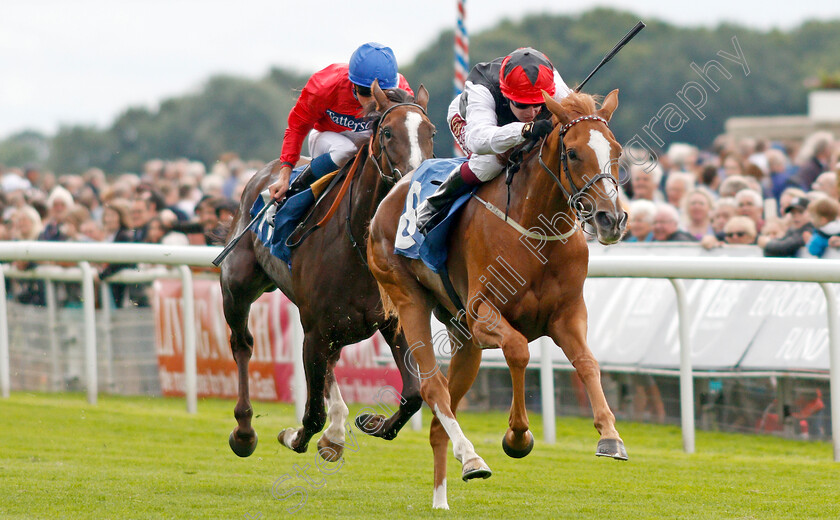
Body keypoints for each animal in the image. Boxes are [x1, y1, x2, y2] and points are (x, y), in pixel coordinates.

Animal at [220, 82, 436, 464]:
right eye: (388, 132)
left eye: (432, 132)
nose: (415, 184)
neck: (357, 246)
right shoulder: (314, 331)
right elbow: (312, 414)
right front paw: (294, 436)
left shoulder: (392, 320)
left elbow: (413, 395)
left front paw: (371, 421)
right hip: (237, 287)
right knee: (242, 345)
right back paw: (244, 432)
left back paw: (335, 433)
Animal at [370, 88, 628, 508]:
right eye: (573, 153)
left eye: (617, 150)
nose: (611, 219)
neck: (536, 229)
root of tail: (393, 191)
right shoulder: (481, 314)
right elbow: (519, 351)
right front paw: (517, 437)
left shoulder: (568, 314)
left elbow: (588, 362)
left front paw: (610, 436)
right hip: (409, 297)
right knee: (432, 387)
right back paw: (472, 457)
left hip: (462, 337)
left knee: (440, 421)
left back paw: (443, 498)